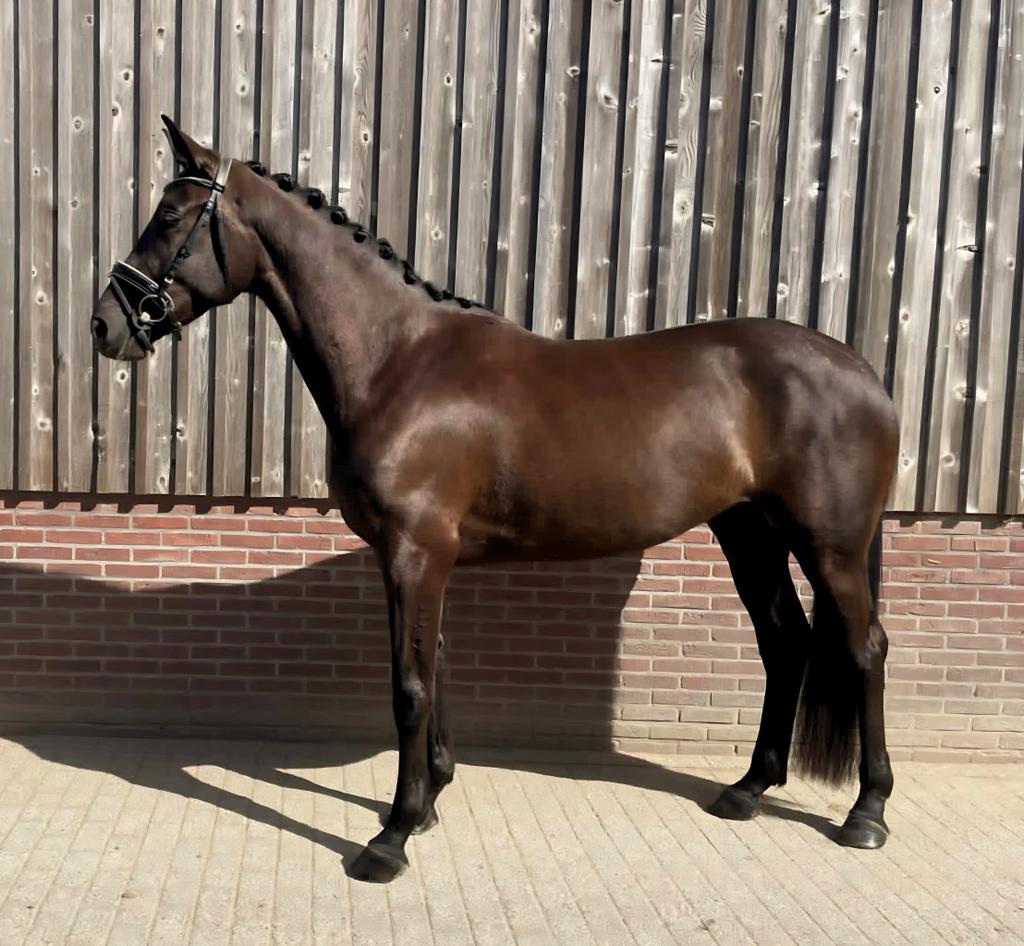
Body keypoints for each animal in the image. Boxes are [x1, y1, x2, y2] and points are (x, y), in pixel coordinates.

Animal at [92, 116, 900, 884]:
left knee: (863, 648)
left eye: (170, 216)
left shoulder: (416, 552)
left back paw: (866, 812)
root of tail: (861, 369)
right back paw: (748, 789)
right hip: (750, 533)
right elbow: (436, 665)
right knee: (785, 642)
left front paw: (391, 836)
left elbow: (409, 686)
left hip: (829, 547)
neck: (398, 362)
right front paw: (427, 806)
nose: (106, 323)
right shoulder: (421, 559)